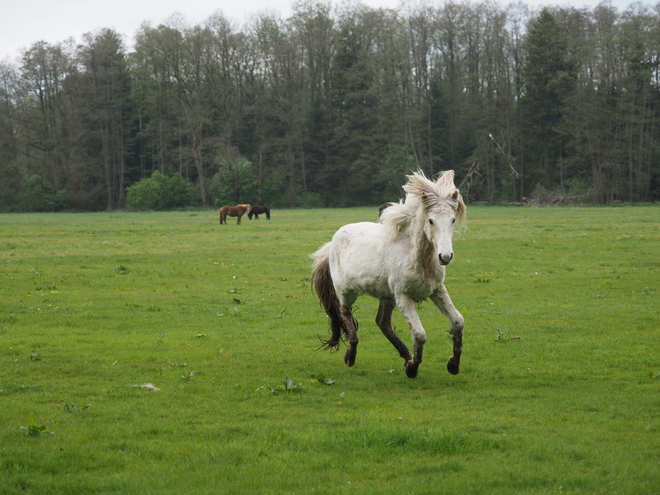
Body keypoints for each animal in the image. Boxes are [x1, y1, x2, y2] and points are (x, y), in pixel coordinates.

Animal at [312, 170, 466, 380]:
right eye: (431, 220)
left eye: (452, 220)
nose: (445, 256)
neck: (415, 256)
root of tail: (332, 241)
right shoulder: (403, 296)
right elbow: (419, 333)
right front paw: (413, 368)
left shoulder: (437, 291)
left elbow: (458, 321)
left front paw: (453, 364)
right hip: (347, 291)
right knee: (345, 313)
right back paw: (351, 355)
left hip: (386, 296)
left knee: (382, 323)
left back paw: (405, 356)